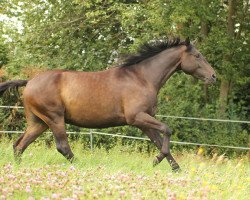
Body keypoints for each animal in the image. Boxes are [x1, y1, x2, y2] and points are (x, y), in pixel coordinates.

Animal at [0, 37, 215, 170]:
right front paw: (157, 160)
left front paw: (175, 168)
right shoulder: (137, 118)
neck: (142, 78)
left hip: (39, 122)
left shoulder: (145, 122)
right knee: (62, 147)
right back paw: (83, 166)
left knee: (19, 145)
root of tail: (29, 82)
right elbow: (167, 131)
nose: (213, 76)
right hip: (54, 119)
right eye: (197, 56)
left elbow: (159, 141)